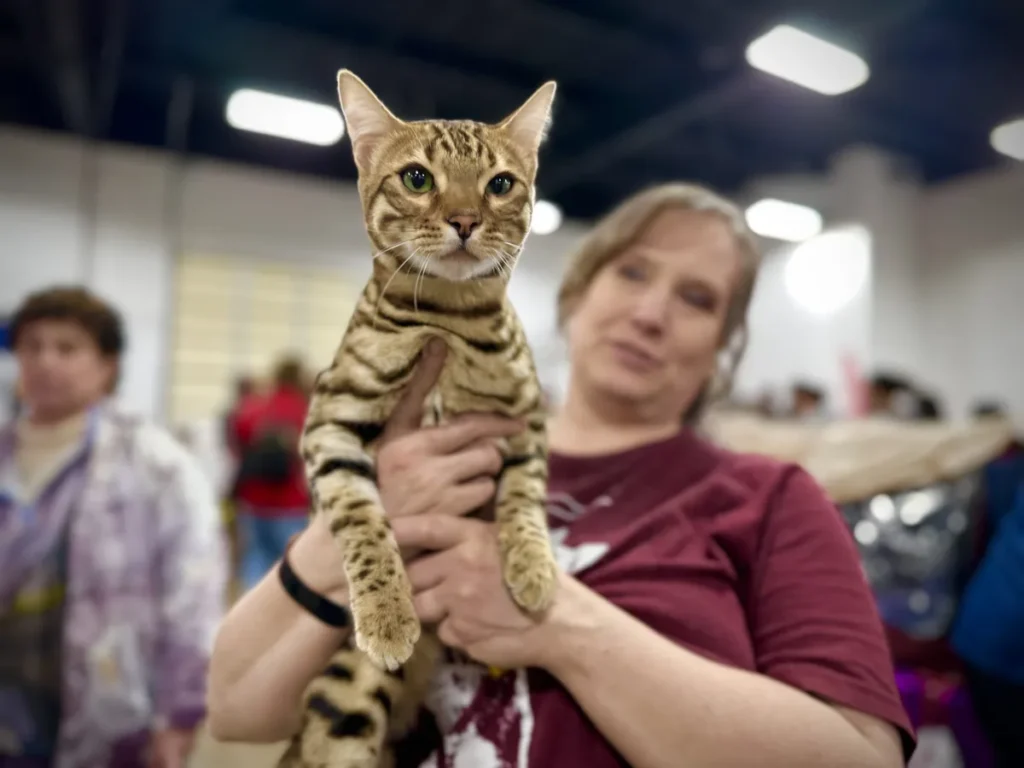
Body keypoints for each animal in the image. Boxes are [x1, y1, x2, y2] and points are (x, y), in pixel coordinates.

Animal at [278, 69, 561, 765]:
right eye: (416, 178)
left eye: (500, 184)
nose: (464, 220)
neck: (449, 319)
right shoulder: (331, 420)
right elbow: (362, 521)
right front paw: (387, 613)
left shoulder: (527, 421)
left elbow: (524, 497)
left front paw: (533, 571)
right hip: (345, 695)